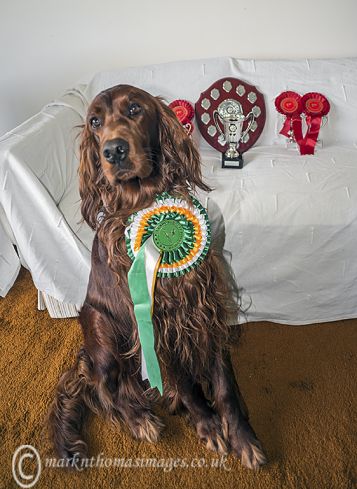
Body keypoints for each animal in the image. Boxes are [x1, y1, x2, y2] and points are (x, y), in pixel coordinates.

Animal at [49, 84, 268, 468]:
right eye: (94, 122)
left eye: (135, 109)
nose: (113, 150)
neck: (147, 205)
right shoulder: (154, 319)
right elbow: (184, 380)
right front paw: (207, 423)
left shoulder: (206, 304)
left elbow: (223, 382)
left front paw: (242, 436)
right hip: (101, 328)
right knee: (102, 386)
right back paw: (139, 418)